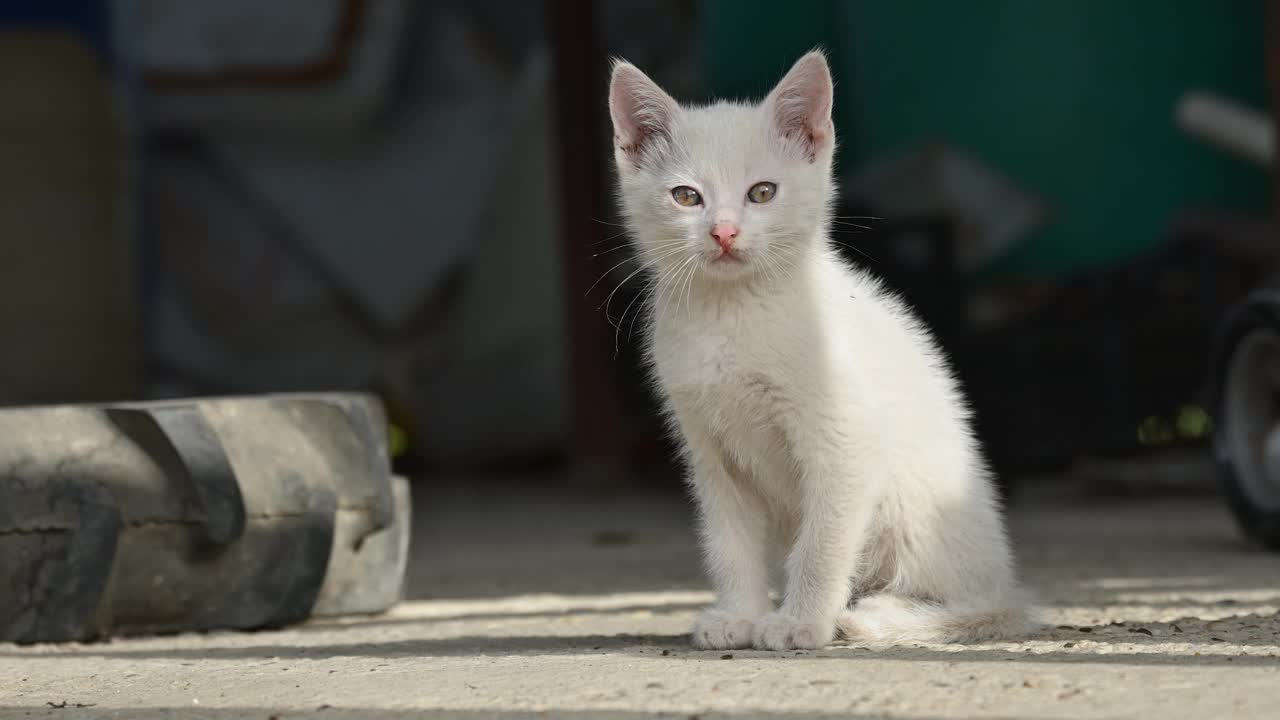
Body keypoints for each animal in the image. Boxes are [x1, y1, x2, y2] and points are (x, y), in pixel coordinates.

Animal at [606, 47, 1029, 648]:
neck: (732, 313)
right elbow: (728, 541)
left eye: (762, 192)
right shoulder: (709, 451)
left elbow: (822, 543)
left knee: (980, 607)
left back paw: (879, 615)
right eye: (686, 196)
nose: (724, 233)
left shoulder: (847, 441)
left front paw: (800, 622)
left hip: (920, 507)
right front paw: (739, 613)